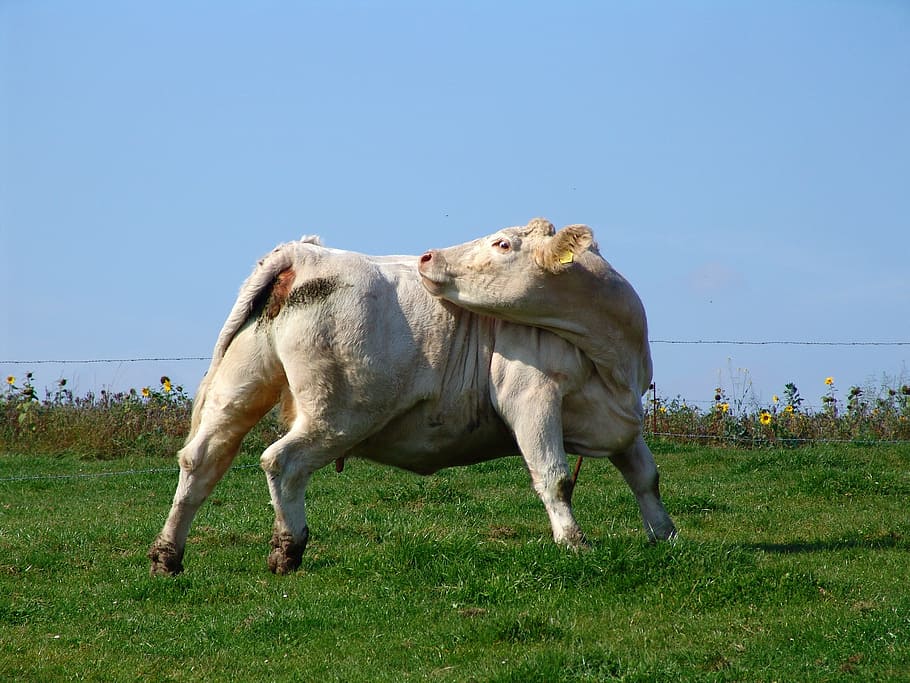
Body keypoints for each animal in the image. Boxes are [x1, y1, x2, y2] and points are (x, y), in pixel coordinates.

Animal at [148, 218, 676, 576]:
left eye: (502, 243)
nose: (427, 257)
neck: (611, 355)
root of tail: (304, 252)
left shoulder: (625, 418)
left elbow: (646, 477)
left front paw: (665, 535)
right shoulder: (531, 396)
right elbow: (555, 477)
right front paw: (573, 543)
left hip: (239, 387)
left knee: (201, 460)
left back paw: (167, 556)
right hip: (338, 412)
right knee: (282, 461)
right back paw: (287, 549)